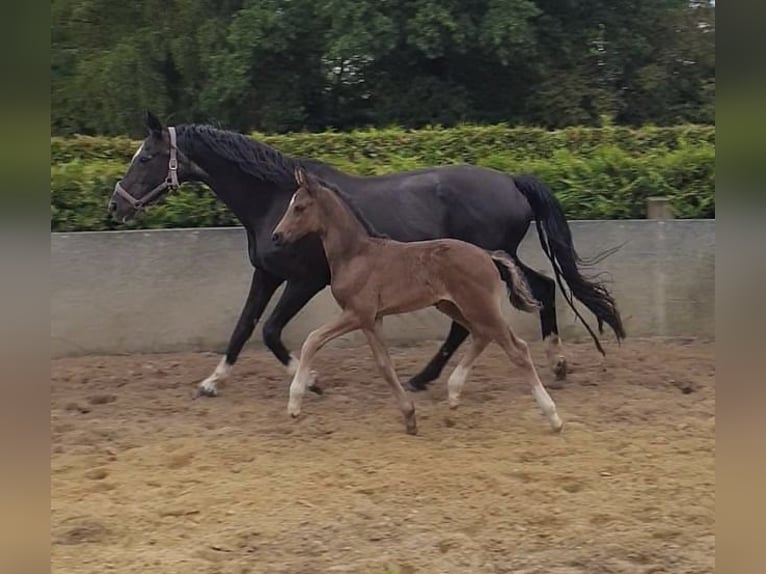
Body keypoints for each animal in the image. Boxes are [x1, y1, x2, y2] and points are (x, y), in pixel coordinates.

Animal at [108, 113, 624, 400]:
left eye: (145, 157)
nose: (115, 204)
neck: (276, 199)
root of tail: (512, 181)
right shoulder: (266, 275)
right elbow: (242, 328)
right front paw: (212, 383)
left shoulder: (304, 280)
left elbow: (271, 331)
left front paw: (311, 381)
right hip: (491, 262)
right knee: (541, 286)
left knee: (501, 307)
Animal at [272, 171, 564, 436]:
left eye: (299, 207)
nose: (276, 236)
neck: (356, 254)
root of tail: (487, 255)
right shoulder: (373, 319)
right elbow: (385, 365)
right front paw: (410, 416)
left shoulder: (357, 314)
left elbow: (312, 339)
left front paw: (295, 404)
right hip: (454, 306)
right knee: (481, 335)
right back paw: (453, 393)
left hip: (480, 307)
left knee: (518, 349)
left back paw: (554, 416)